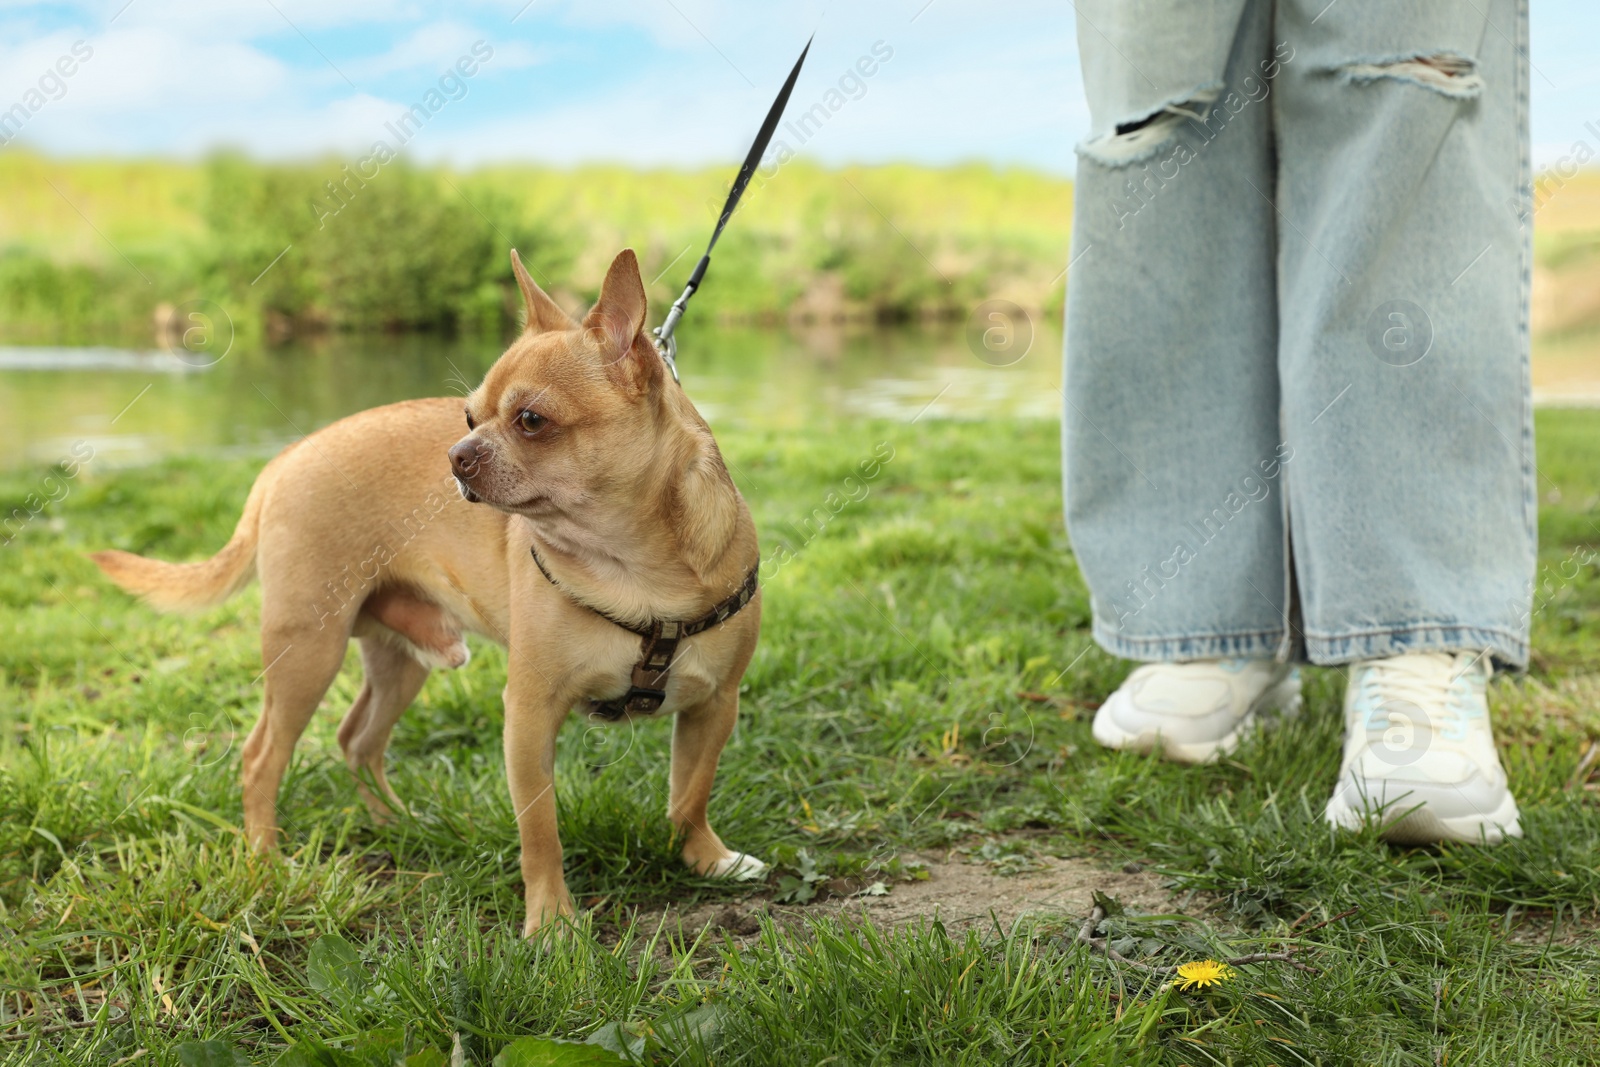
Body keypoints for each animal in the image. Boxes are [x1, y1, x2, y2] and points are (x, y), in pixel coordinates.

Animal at [92, 251, 768, 934]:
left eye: (531, 421)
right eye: (470, 417)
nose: (455, 454)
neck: (634, 569)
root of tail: (284, 459)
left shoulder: (716, 705)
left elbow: (690, 793)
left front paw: (706, 858)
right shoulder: (529, 717)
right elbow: (541, 831)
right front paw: (551, 922)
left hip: (400, 660)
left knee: (357, 739)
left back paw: (395, 822)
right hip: (307, 651)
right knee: (261, 758)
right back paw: (267, 861)